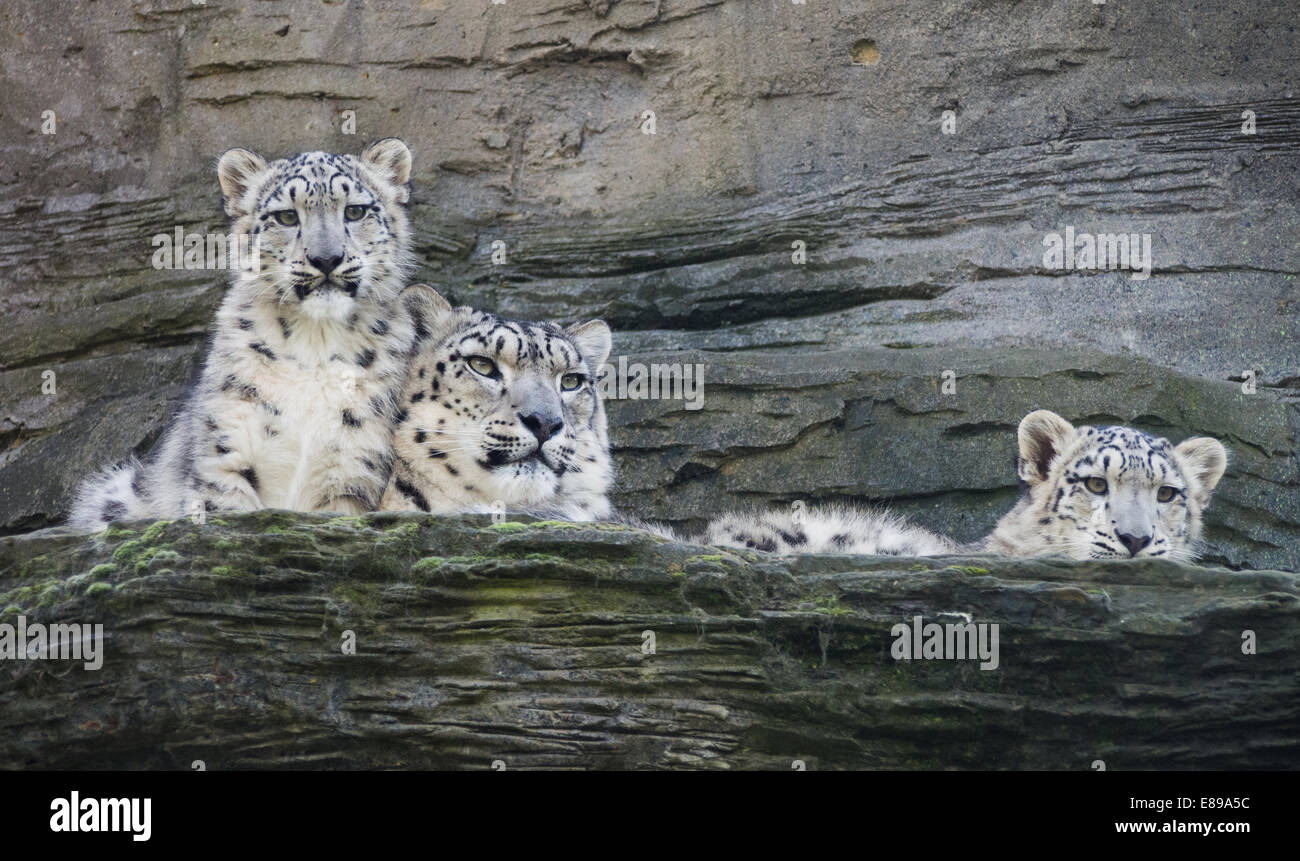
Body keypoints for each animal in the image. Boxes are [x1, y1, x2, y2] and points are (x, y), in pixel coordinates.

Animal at [68, 139, 423, 533]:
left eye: (356, 211)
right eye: (286, 217)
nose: (326, 258)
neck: (316, 342)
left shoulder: (353, 468)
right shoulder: (227, 450)